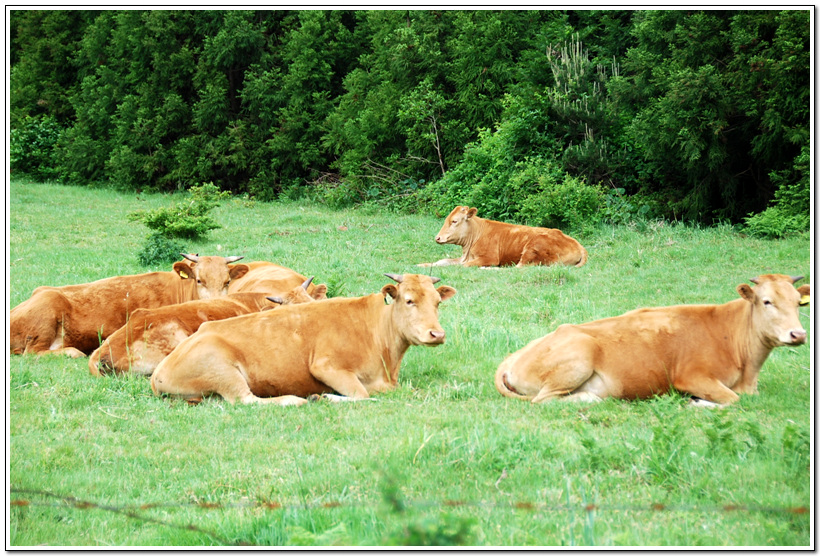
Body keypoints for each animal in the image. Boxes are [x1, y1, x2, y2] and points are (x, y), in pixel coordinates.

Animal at [148, 272, 454, 406]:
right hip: (221, 368)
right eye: (409, 300)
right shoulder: (325, 366)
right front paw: (325, 396)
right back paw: (294, 399)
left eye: (438, 302)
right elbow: (363, 396)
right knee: (245, 400)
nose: (437, 334)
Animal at [416, 207, 588, 270]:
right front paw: (421, 265)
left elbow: (462, 266)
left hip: (533, 248)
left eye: (454, 221)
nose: (438, 238)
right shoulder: (465, 257)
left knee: (517, 268)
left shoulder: (489, 257)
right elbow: (442, 261)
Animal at [496, 274, 812, 408]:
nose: (798, 334)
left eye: (797, 303)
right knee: (543, 400)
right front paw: (698, 403)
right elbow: (733, 400)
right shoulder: (691, 377)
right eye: (767, 301)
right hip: (579, 354)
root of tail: (512, 357)